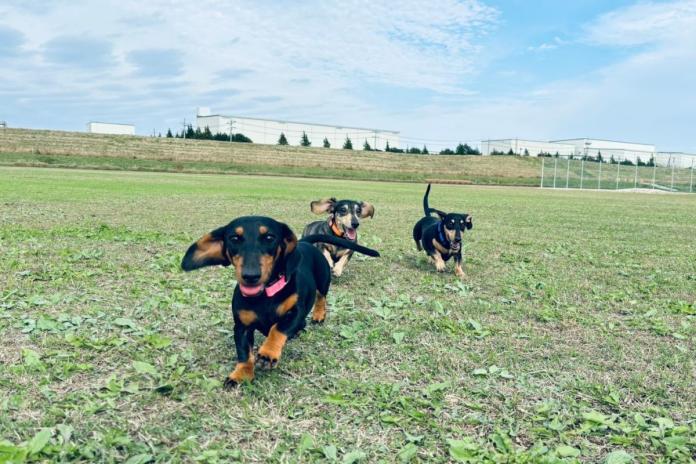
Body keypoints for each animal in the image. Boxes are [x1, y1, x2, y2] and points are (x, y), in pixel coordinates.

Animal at [182, 216, 378, 386]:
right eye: (234, 238)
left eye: (269, 237)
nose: (250, 275)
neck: (265, 295)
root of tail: (305, 242)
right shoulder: (241, 327)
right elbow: (244, 353)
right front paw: (241, 374)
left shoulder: (295, 312)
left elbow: (278, 329)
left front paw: (267, 353)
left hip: (323, 280)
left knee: (321, 297)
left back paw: (318, 315)